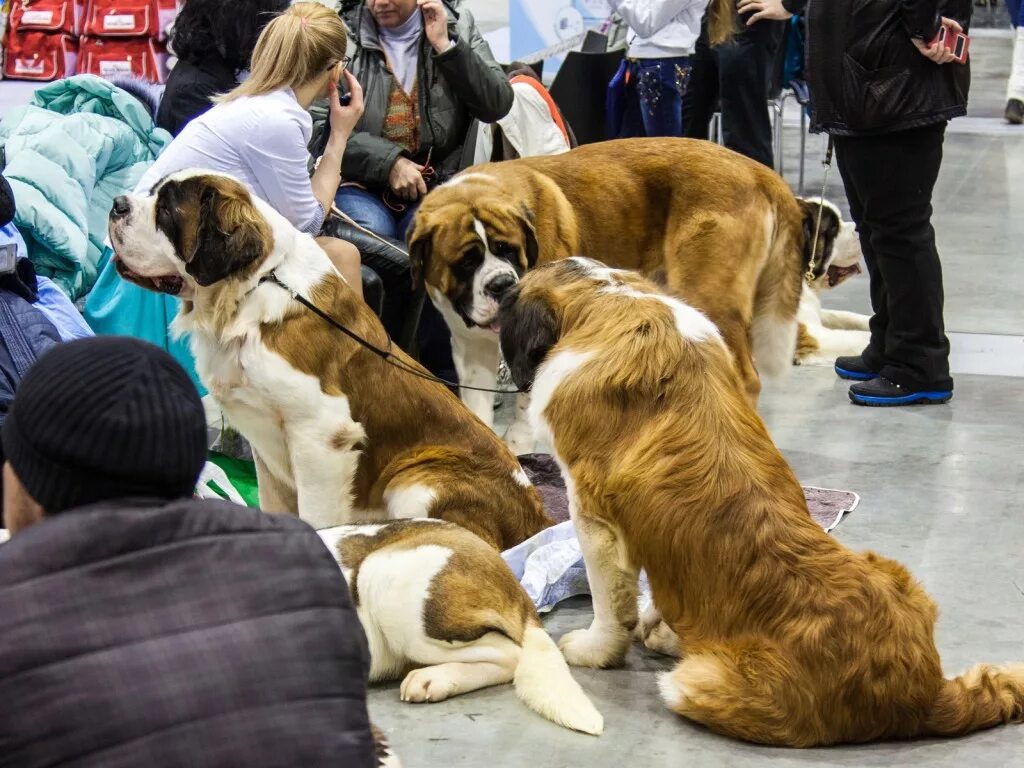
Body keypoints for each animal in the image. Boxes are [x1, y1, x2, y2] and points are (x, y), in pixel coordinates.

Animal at [109, 172, 552, 548]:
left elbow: (317, 519)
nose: (116, 204)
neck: (254, 288)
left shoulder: (322, 438)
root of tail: (539, 518)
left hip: (416, 478)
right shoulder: (266, 447)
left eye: (166, 210)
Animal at [403, 138, 843, 450]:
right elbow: (474, 405)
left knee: (746, 376)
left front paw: (519, 445)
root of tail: (759, 170)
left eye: (508, 249)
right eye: (466, 262)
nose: (503, 284)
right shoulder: (469, 344)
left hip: (708, 294)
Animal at [495, 262, 1024, 749]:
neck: (609, 297)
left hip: (693, 685)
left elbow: (611, 603)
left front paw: (595, 649)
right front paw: (654, 619)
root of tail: (926, 691)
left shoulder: (594, 517)